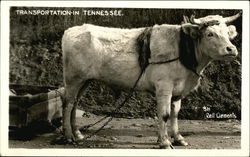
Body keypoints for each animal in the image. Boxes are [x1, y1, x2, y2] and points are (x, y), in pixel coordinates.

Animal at [60, 12, 240, 148]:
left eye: (227, 33)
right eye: (210, 34)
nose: (231, 49)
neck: (183, 49)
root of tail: (72, 30)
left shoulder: (178, 90)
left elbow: (175, 113)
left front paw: (178, 138)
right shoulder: (164, 87)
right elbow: (165, 114)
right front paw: (164, 142)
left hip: (85, 80)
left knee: (75, 103)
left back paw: (78, 134)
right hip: (73, 79)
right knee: (68, 103)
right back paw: (68, 136)